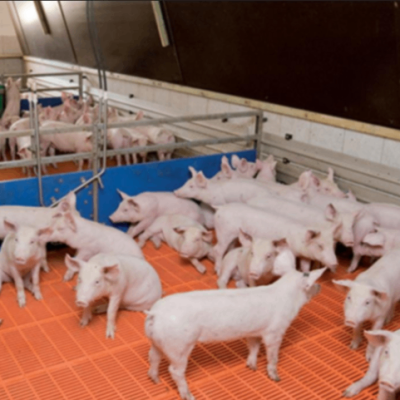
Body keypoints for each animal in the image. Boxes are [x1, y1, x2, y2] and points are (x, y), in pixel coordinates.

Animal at [145, 267, 326, 400]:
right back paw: (189, 396)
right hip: (179, 345)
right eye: (313, 283)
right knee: (174, 370)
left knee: (153, 357)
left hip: (157, 341)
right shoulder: (275, 331)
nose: (321, 287)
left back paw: (155, 380)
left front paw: (252, 367)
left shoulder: (253, 331)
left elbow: (253, 347)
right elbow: (272, 355)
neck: (290, 298)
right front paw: (276, 378)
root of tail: (156, 313)